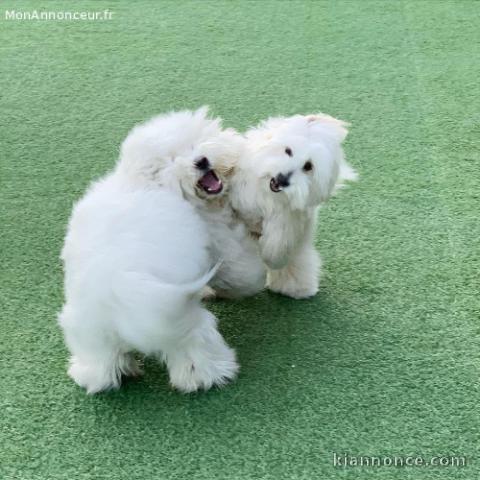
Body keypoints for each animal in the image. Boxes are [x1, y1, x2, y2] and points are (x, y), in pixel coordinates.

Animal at [229, 114, 356, 298]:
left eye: (308, 166)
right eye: (288, 151)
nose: (283, 179)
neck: (267, 194)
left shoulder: (289, 219)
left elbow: (277, 243)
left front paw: (271, 256)